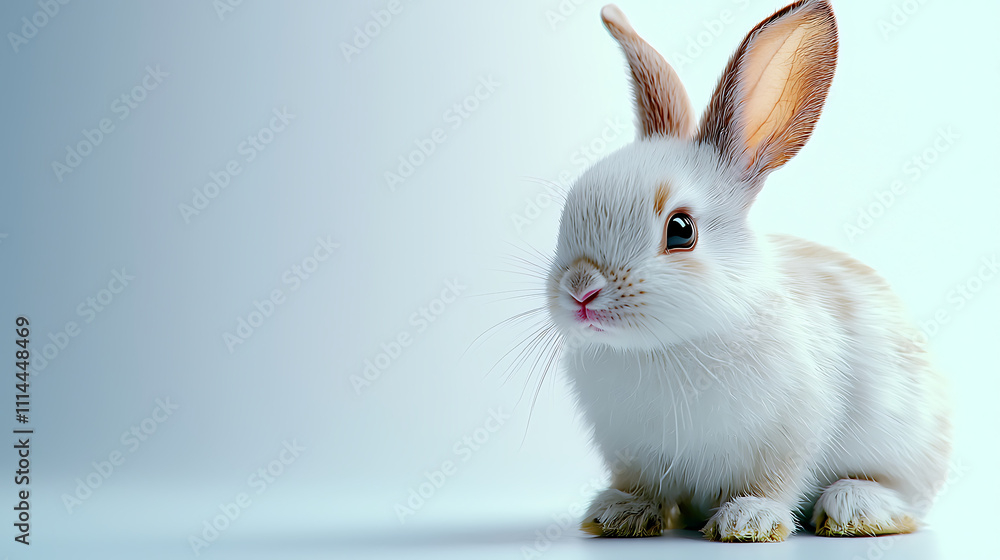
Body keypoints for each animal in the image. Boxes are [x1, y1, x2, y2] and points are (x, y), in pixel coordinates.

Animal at [543, 0, 952, 542]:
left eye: (681, 230)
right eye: (568, 210)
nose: (580, 289)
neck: (663, 347)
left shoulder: (791, 433)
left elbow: (774, 481)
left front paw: (747, 521)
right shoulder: (633, 452)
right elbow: (641, 484)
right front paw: (619, 513)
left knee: (903, 498)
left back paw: (856, 507)